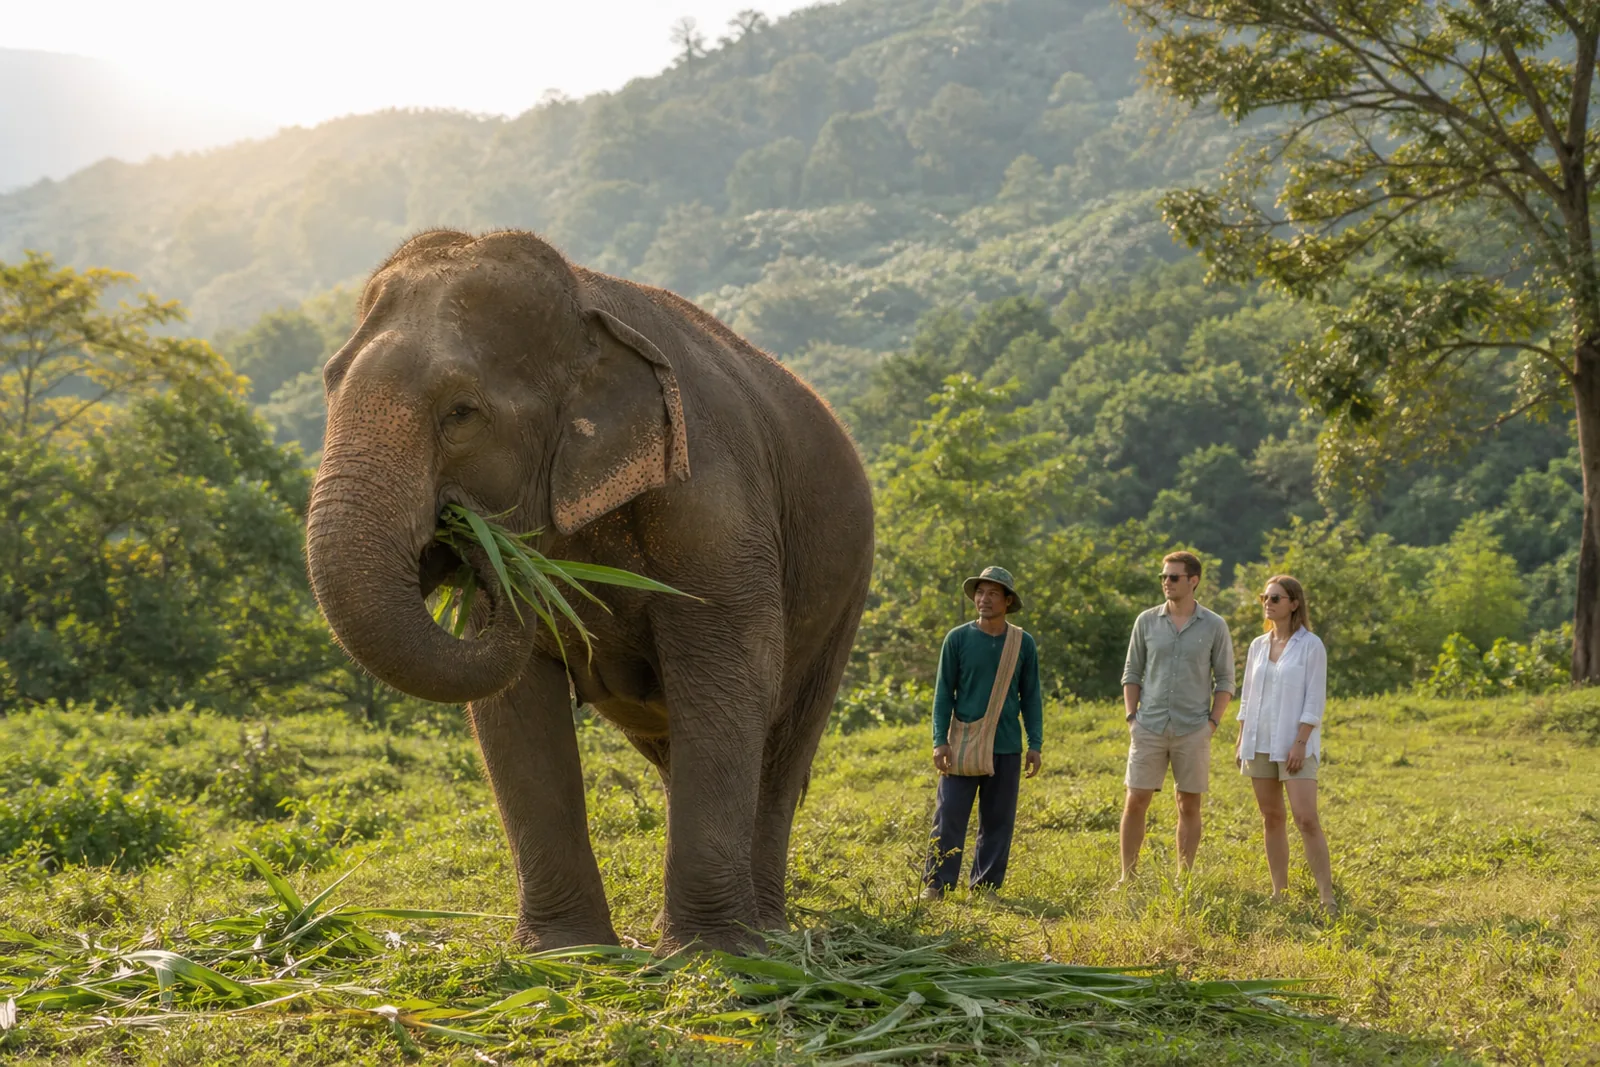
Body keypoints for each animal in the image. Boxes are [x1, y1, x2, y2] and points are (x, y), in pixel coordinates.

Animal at [304, 229, 874, 953]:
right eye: (328, 383)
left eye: (461, 412)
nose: (474, 543)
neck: (583, 305)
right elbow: (514, 707)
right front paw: (569, 953)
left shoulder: (714, 503)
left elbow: (728, 675)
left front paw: (709, 954)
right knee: (673, 749)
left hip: (847, 588)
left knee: (783, 743)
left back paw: (765, 933)